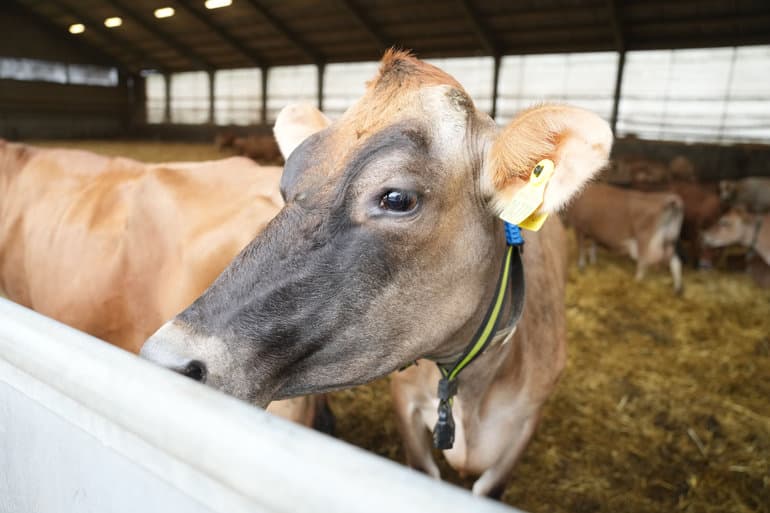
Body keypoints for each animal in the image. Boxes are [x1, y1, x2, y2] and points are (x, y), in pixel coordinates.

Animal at [140, 50, 612, 494]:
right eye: (285, 186)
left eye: (397, 198)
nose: (165, 359)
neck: (473, 388)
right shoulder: (407, 407)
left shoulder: (524, 426)